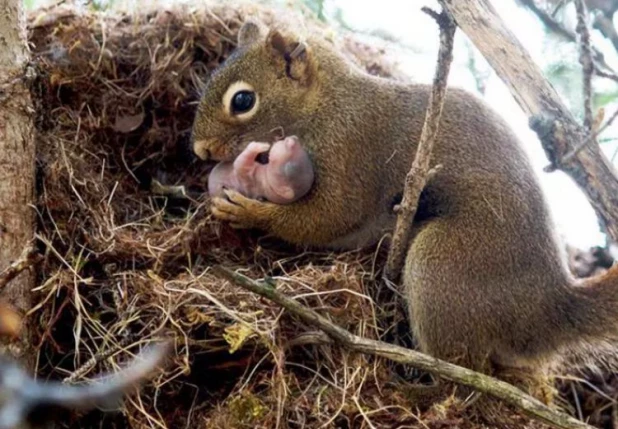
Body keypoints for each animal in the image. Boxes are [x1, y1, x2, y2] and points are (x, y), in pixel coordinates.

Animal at [192, 22, 618, 392]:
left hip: (443, 265)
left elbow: (327, 218)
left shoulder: (351, 150)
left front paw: (247, 211)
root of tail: (550, 308)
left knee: (465, 373)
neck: (326, 105)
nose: (200, 150)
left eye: (243, 100)